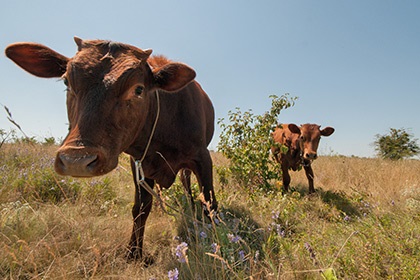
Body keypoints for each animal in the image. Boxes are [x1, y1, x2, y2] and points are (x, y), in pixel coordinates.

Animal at [4, 36, 218, 260]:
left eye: (138, 89)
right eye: (66, 82)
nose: (76, 160)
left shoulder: (202, 158)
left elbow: (209, 205)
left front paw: (212, 244)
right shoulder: (139, 164)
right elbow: (141, 208)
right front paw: (134, 252)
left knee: (187, 184)